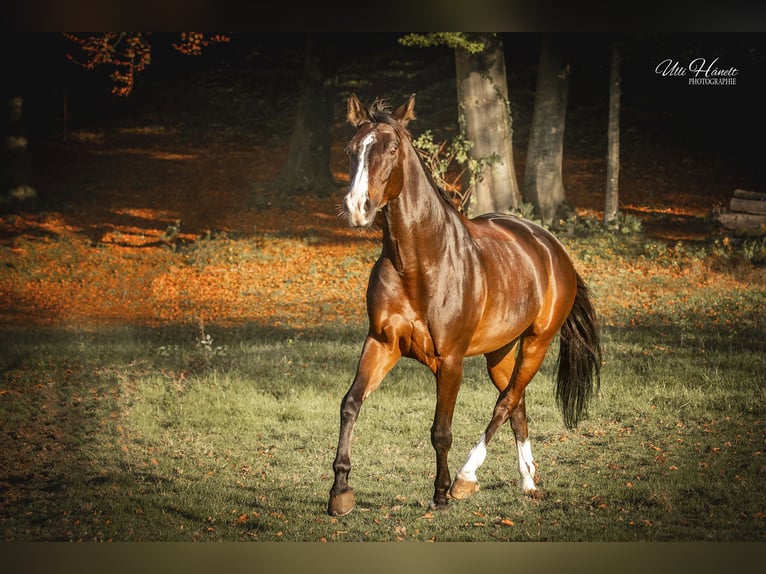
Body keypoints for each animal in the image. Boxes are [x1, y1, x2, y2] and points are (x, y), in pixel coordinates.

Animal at [328, 94, 604, 516]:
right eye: (350, 149)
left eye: (391, 150)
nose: (358, 207)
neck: (419, 263)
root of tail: (549, 245)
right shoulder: (381, 343)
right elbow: (350, 404)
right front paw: (340, 491)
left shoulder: (451, 360)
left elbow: (441, 430)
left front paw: (441, 494)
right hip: (499, 353)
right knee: (517, 406)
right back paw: (528, 482)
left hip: (536, 343)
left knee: (506, 403)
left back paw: (466, 477)